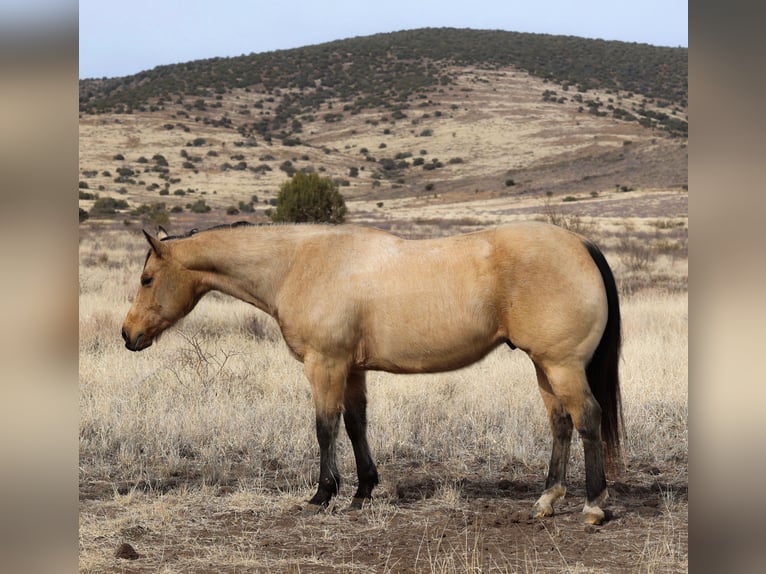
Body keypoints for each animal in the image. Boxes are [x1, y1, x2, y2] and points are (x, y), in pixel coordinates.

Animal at [121, 220, 624, 528]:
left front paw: (322, 496)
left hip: (561, 366)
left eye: (146, 279)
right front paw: (363, 492)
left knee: (587, 420)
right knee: (560, 424)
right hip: (544, 367)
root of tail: (581, 244)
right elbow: (356, 425)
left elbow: (324, 428)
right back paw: (546, 501)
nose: (128, 335)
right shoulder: (352, 369)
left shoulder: (324, 365)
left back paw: (593, 506)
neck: (299, 263)